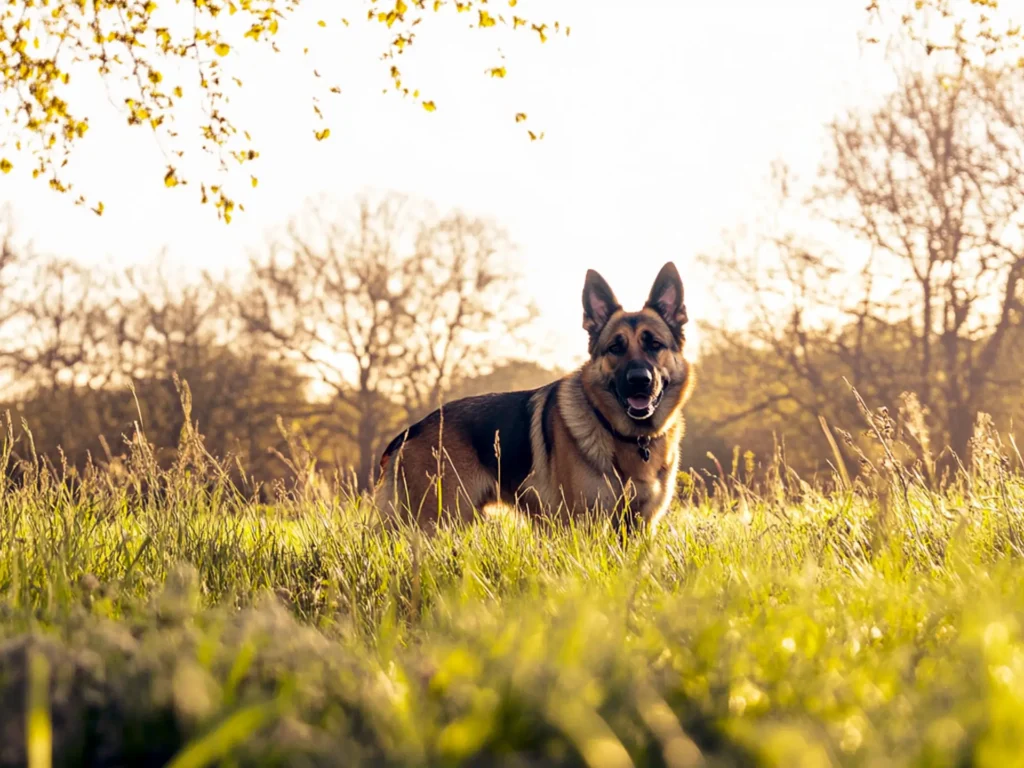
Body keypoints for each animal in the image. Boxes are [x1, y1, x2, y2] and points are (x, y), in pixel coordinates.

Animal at [376, 262, 696, 532]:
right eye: (615, 348)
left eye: (654, 344)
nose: (639, 381)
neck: (630, 438)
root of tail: (412, 430)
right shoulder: (583, 526)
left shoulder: (639, 526)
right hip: (437, 523)